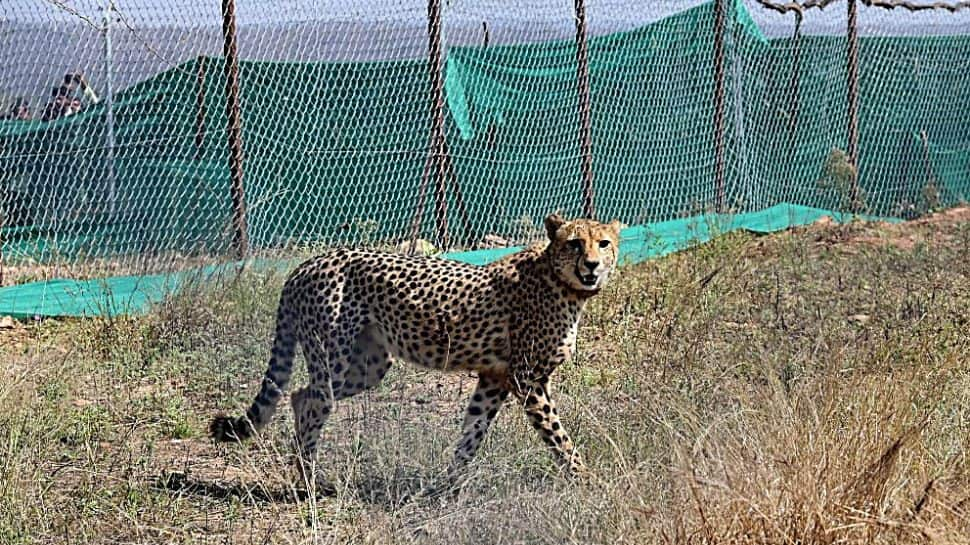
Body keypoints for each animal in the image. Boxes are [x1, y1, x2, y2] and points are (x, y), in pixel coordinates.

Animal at [211, 211, 620, 484]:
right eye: (574, 243)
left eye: (603, 243)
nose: (592, 265)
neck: (560, 280)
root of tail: (307, 264)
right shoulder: (527, 379)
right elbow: (559, 437)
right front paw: (588, 481)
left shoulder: (494, 378)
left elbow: (472, 432)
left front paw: (448, 486)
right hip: (334, 358)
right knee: (313, 401)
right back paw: (308, 482)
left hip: (370, 366)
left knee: (299, 395)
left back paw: (304, 470)